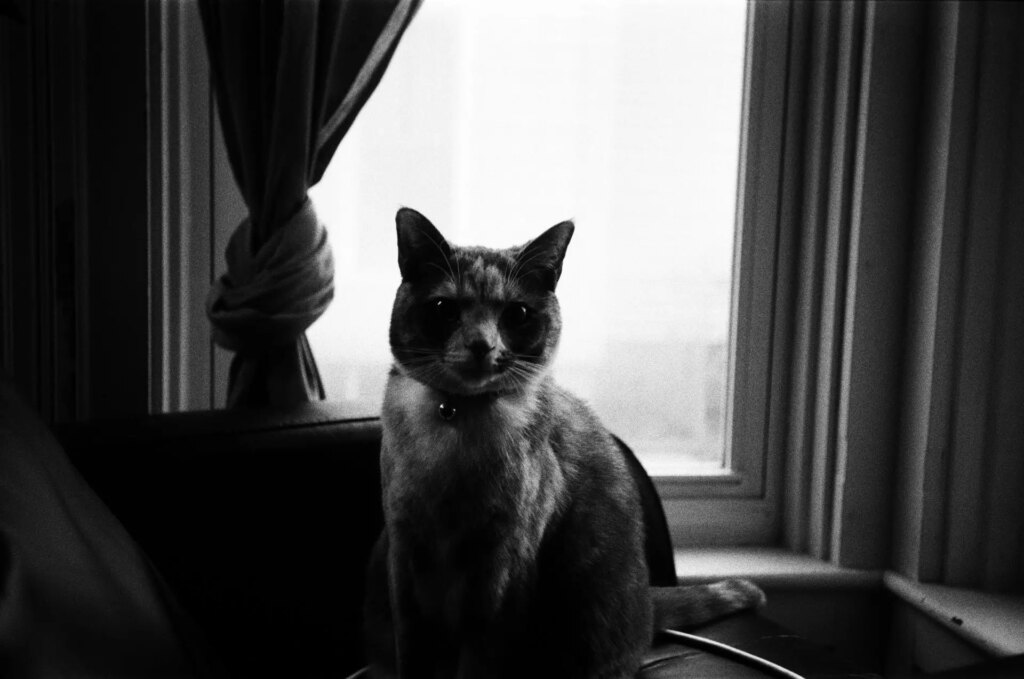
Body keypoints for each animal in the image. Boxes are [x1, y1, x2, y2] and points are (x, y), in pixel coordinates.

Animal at [364, 208, 765, 679]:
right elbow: (413, 656)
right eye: (444, 309)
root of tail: (648, 604)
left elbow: (478, 659)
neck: (457, 419)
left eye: (516, 314)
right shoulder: (406, 559)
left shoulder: (499, 570)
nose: (482, 345)